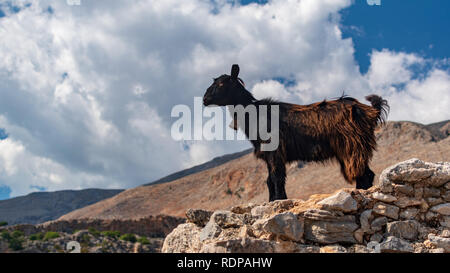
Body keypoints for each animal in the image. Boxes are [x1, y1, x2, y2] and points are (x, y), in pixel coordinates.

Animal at [202, 63, 388, 200]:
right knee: (365, 173)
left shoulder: (275, 151)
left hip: (353, 147)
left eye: (221, 83)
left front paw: (280, 200)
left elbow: (276, 177)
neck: (256, 114)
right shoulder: (268, 154)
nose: (204, 99)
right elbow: (269, 180)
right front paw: (273, 200)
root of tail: (371, 111)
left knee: (364, 174)